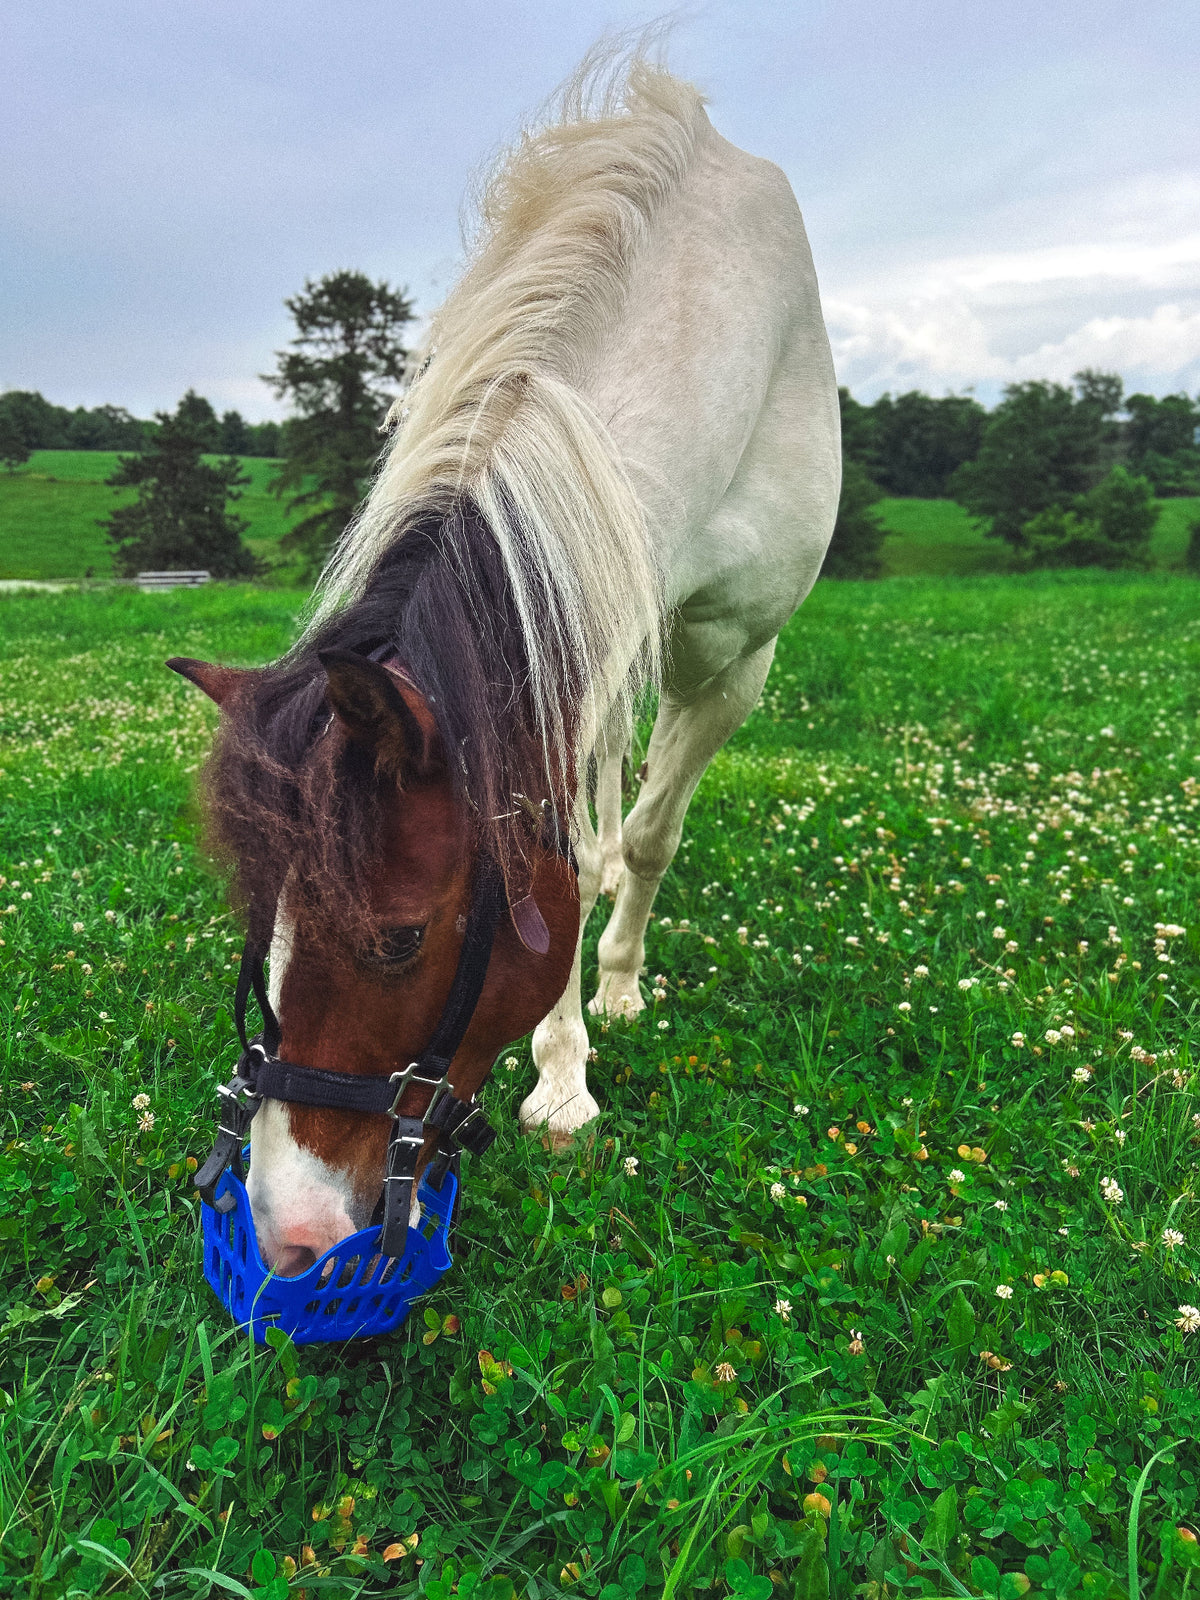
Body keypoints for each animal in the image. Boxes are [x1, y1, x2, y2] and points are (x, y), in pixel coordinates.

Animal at [170, 52, 839, 1276]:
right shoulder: (567, 641)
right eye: (262, 931)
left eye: (396, 938)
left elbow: (644, 838)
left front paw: (595, 1024)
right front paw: (563, 1058)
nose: (288, 1236)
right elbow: (571, 847)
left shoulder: (734, 663)